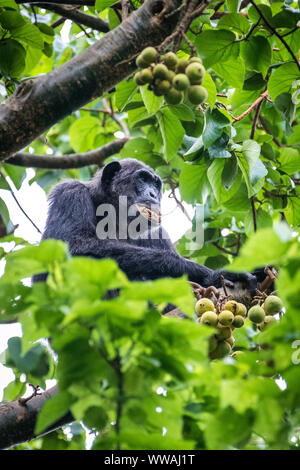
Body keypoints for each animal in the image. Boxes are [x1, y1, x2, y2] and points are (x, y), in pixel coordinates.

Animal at [33, 158, 258, 292]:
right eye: (142, 179)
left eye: (156, 184)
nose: (152, 194)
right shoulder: (69, 194)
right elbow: (74, 246)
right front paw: (210, 274)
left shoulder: (159, 234)